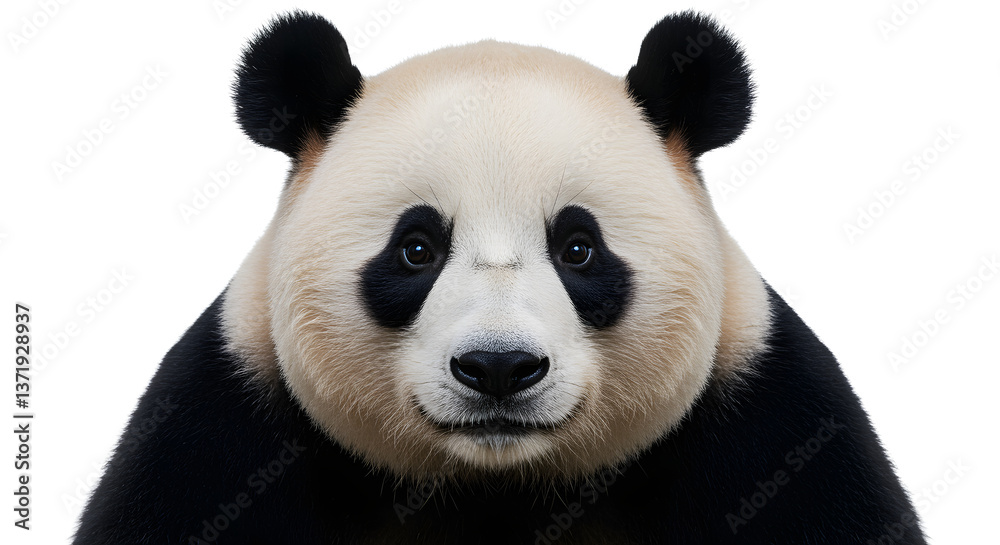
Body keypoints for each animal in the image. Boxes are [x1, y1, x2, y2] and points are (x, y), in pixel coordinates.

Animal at [74, 11, 927, 545]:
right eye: (416, 249)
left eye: (579, 248)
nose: (498, 367)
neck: (498, 489)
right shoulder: (226, 430)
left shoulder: (766, 420)